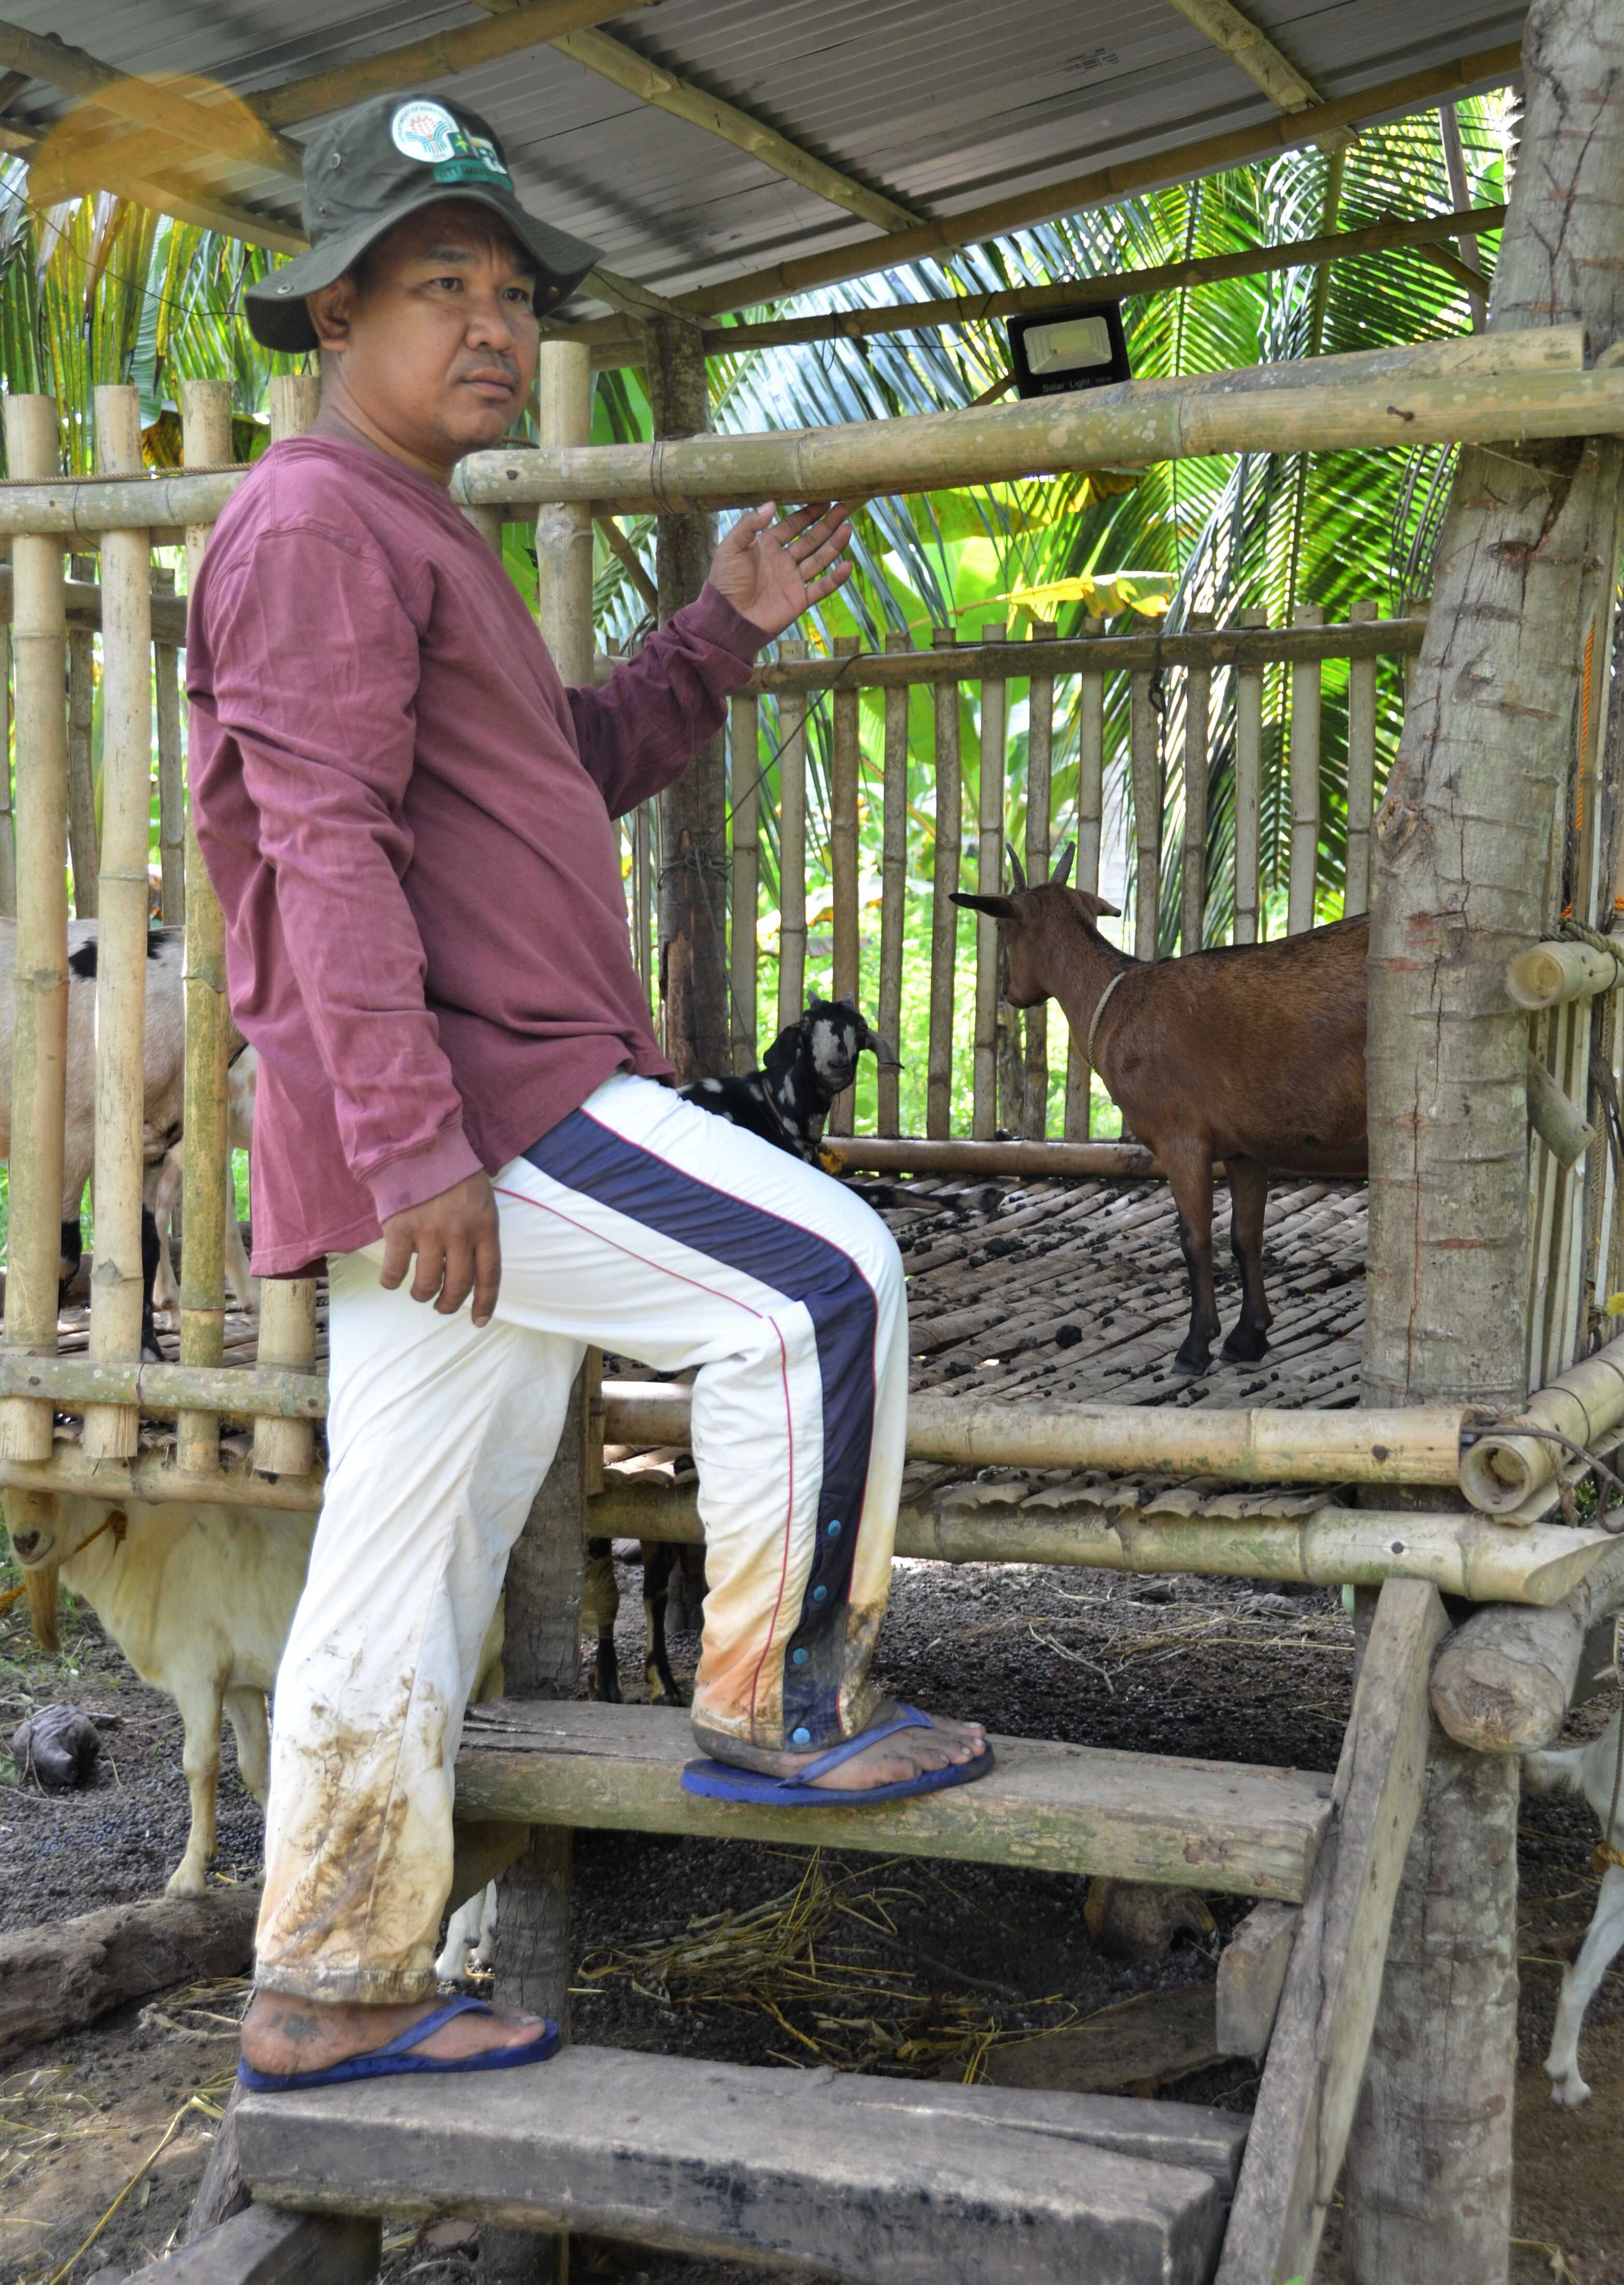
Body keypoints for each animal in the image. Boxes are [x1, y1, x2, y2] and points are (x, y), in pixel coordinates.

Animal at [954, 847, 1367, 1375]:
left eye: (1006, 931)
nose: (1010, 993)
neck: (1117, 1003)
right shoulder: (1244, 1146)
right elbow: (1245, 1237)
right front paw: (1248, 1337)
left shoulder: (1180, 1138)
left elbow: (1194, 1239)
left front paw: (1195, 1345)